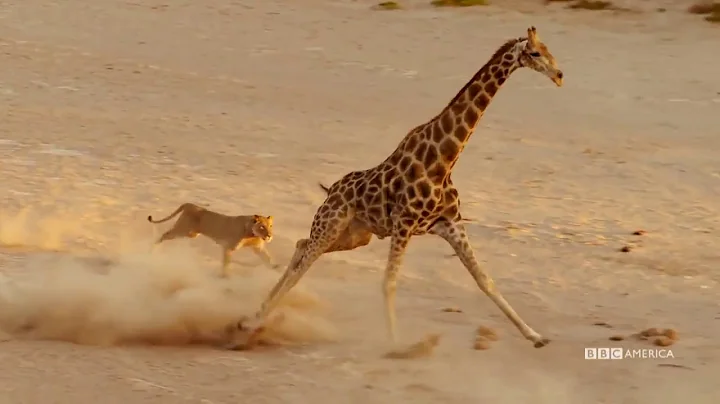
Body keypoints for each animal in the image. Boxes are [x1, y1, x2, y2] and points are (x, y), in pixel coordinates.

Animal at [147, 203, 278, 277]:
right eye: (262, 227)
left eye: (270, 226)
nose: (269, 236)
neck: (252, 234)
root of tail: (191, 204)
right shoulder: (228, 248)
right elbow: (226, 264)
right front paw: (225, 276)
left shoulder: (258, 248)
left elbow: (267, 258)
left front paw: (275, 268)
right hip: (182, 229)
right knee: (164, 235)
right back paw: (153, 249)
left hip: (191, 234)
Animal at [226, 26, 564, 350]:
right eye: (535, 53)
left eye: (549, 49)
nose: (559, 75)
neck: (444, 160)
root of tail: (331, 190)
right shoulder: (404, 224)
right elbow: (389, 282)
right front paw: (398, 346)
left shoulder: (450, 224)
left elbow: (485, 280)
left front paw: (536, 336)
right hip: (331, 225)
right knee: (302, 263)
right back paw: (251, 321)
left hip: (354, 235)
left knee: (300, 246)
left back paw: (255, 316)